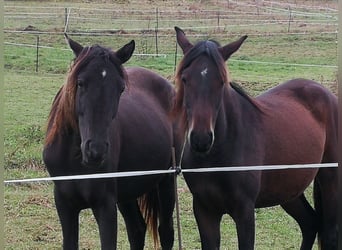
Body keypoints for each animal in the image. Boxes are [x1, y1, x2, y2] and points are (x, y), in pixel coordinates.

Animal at [42, 36, 176, 249]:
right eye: (81, 83)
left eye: (121, 88)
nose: (95, 151)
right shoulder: (64, 204)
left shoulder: (105, 206)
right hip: (128, 193)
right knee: (137, 229)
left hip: (166, 181)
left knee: (166, 233)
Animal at [172, 26, 338, 249]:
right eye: (185, 79)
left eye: (221, 81)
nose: (201, 139)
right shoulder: (204, 210)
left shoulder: (244, 212)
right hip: (289, 190)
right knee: (310, 223)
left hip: (330, 180)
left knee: (330, 233)